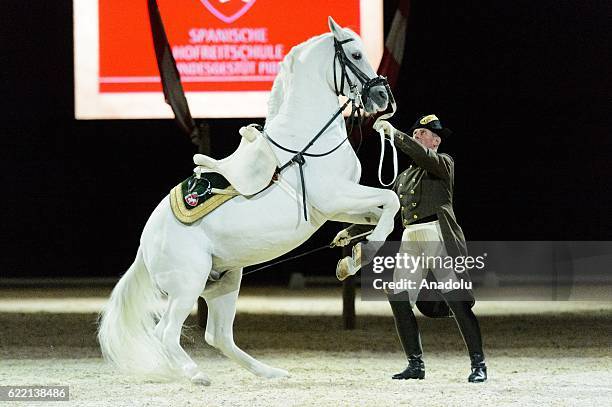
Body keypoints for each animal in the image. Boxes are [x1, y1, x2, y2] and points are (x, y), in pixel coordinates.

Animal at [98, 16, 400, 386]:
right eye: (356, 54)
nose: (382, 96)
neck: (306, 142)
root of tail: (145, 244)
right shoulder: (334, 197)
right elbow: (391, 200)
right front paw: (362, 253)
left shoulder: (340, 205)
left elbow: (380, 213)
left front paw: (350, 252)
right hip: (187, 285)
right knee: (166, 332)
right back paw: (195, 374)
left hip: (224, 282)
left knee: (218, 336)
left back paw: (271, 372)